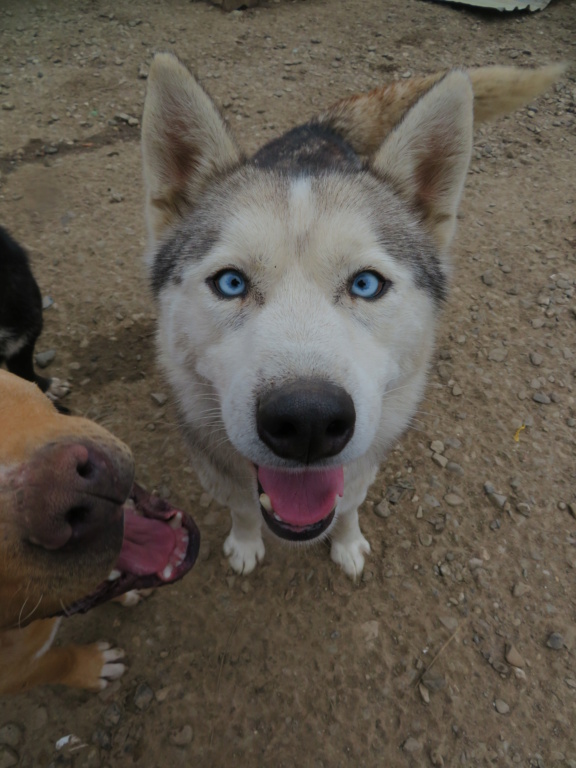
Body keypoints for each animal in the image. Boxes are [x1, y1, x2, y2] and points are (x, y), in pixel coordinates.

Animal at [142, 55, 564, 576]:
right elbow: (242, 508)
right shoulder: (217, 470)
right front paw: (244, 544)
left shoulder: (363, 465)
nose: (307, 421)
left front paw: (346, 544)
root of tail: (318, 130)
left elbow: (348, 507)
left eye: (366, 284)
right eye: (231, 283)